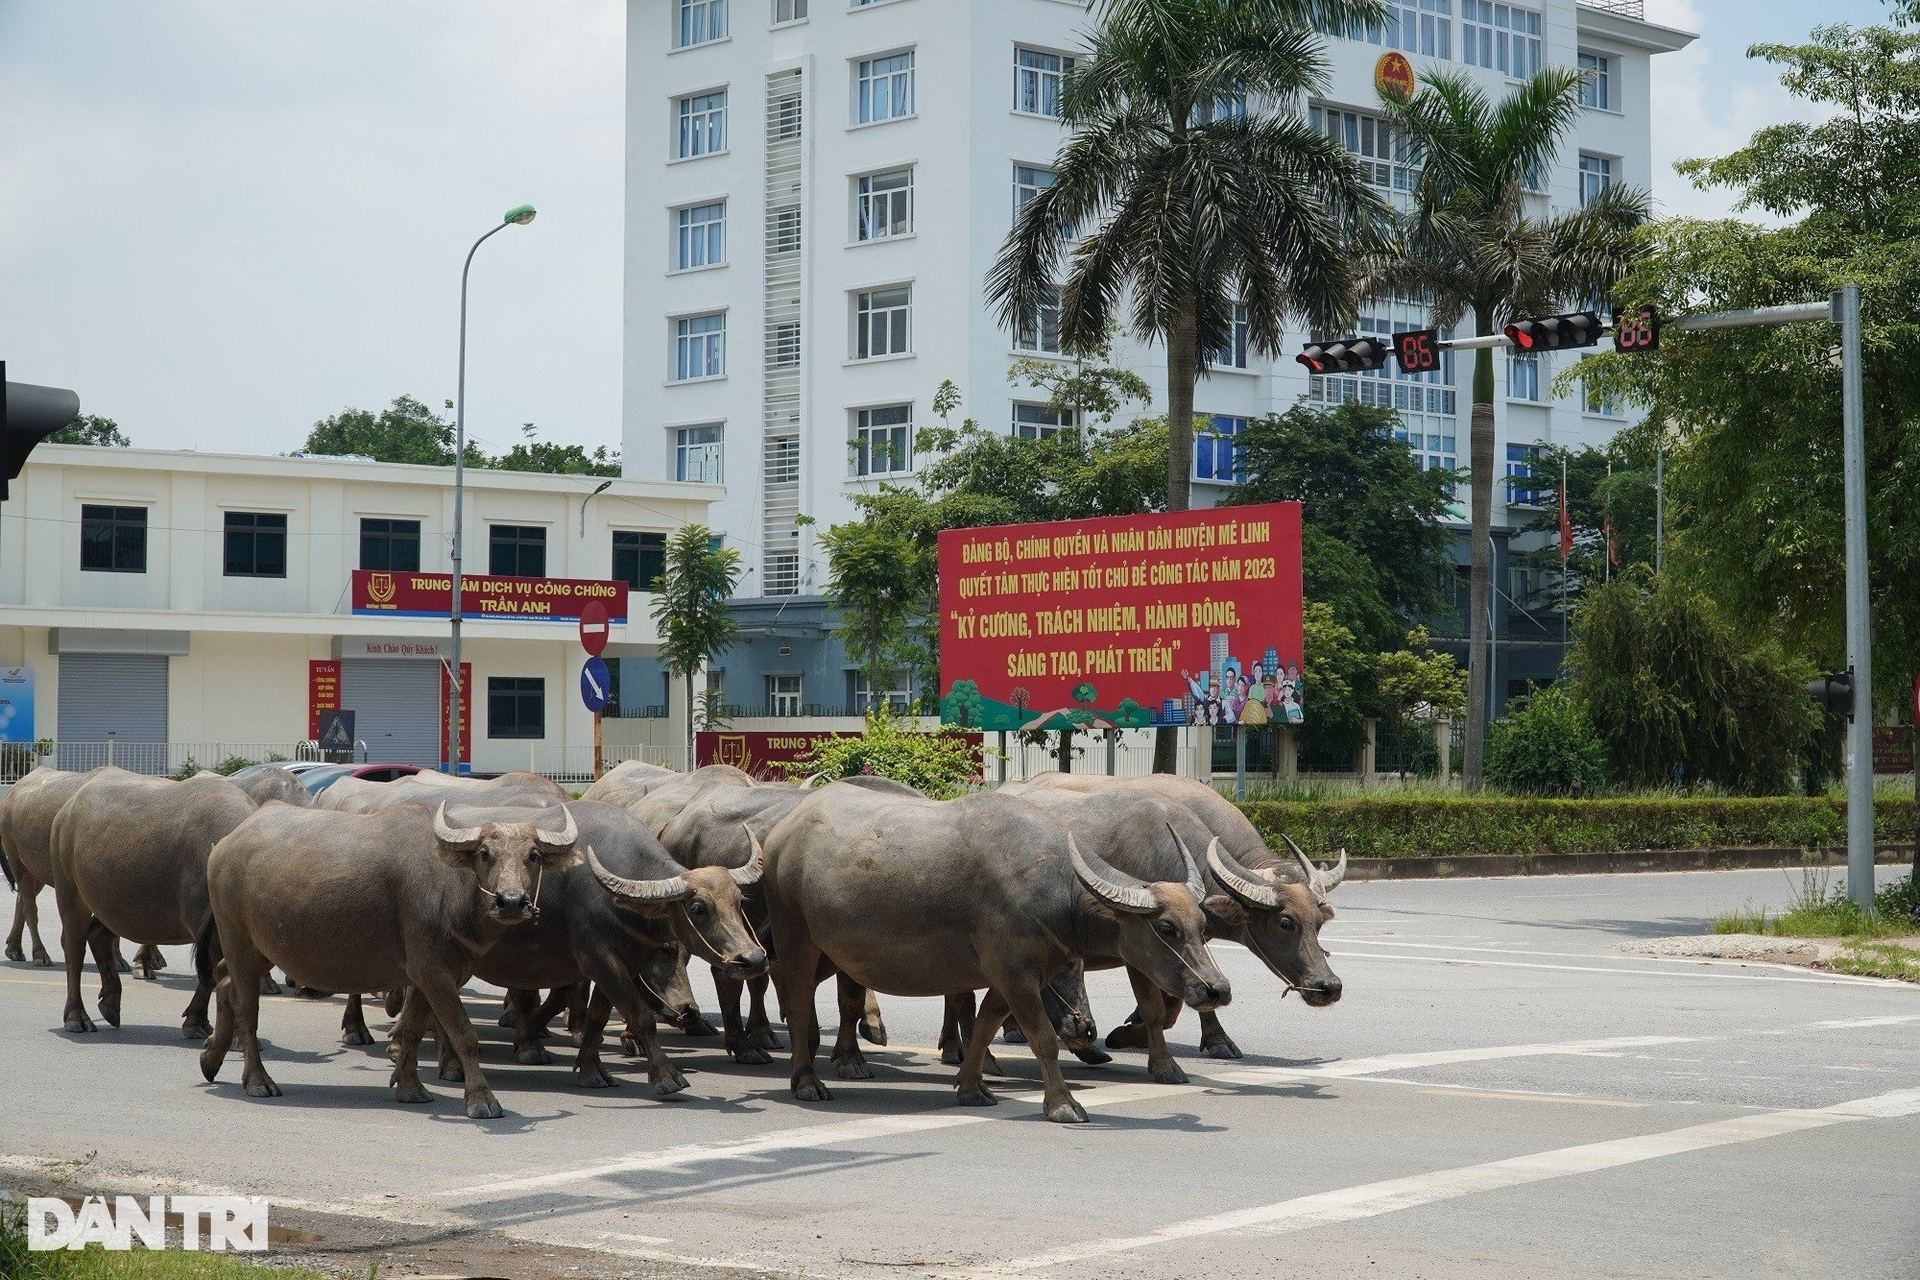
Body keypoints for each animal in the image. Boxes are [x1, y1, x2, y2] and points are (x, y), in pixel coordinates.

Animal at [47, 767, 255, 1036]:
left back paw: (111, 1002)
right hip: (69, 889)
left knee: (98, 934)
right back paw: (76, 1016)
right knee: (74, 946)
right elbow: (213, 970)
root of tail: (67, 809)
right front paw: (202, 1023)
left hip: (119, 905)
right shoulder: (205, 924)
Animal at [200, 802, 583, 1113]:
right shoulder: (434, 973)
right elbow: (464, 1035)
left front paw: (410, 1086)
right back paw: (257, 1080)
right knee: (246, 1008)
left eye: (533, 855)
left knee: (224, 981)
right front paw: (481, 1099)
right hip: (238, 941)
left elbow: (412, 1029)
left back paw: (210, 1057)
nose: (511, 901)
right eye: (485, 853)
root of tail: (224, 845)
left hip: (265, 948)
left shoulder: (427, 976)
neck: (449, 890)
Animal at [756, 786, 1221, 1128]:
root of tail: (781, 833)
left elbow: (983, 1026)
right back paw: (806, 1081)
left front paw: (971, 1087)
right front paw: (1063, 1104)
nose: (1217, 989)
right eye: (1167, 928)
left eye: (1202, 925)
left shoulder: (1008, 977)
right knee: (797, 1005)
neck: (1058, 890)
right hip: (796, 939)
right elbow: (1041, 1038)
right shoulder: (1017, 975)